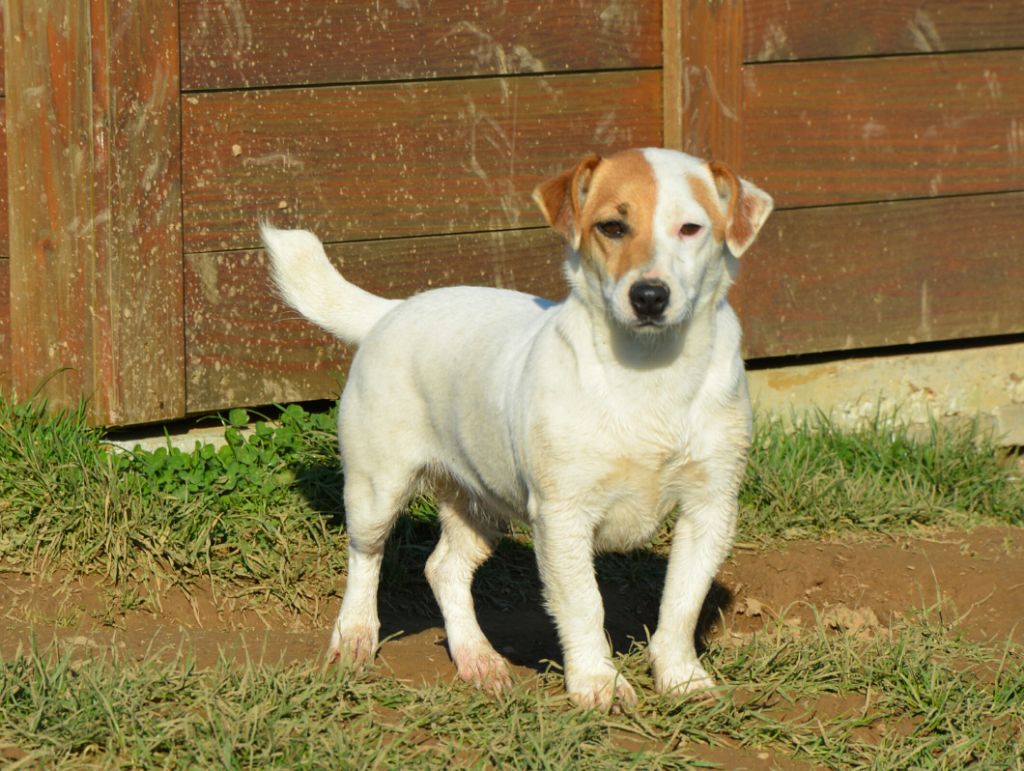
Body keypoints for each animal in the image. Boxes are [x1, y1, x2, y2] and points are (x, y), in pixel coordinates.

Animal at [260, 147, 770, 712]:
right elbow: (585, 605)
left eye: (691, 228)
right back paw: (355, 635)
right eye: (612, 227)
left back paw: (476, 658)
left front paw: (681, 678)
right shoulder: (563, 516)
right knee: (365, 559)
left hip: (480, 504)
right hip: (377, 490)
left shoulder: (711, 507)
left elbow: (682, 602)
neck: (650, 373)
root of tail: (392, 310)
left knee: (444, 568)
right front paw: (598, 683)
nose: (650, 295)